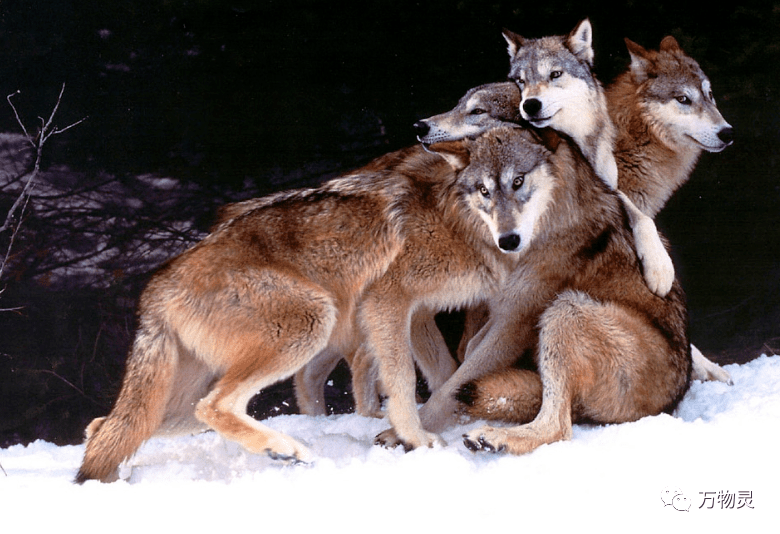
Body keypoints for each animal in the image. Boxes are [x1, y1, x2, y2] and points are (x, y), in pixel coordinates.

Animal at [77, 126, 548, 486]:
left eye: (519, 183)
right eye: (485, 190)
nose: (510, 238)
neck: (453, 217)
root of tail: (157, 287)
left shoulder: (418, 314)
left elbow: (445, 374)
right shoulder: (387, 301)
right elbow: (401, 380)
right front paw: (416, 439)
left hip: (181, 398)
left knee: (105, 427)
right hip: (311, 320)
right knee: (212, 407)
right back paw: (283, 449)